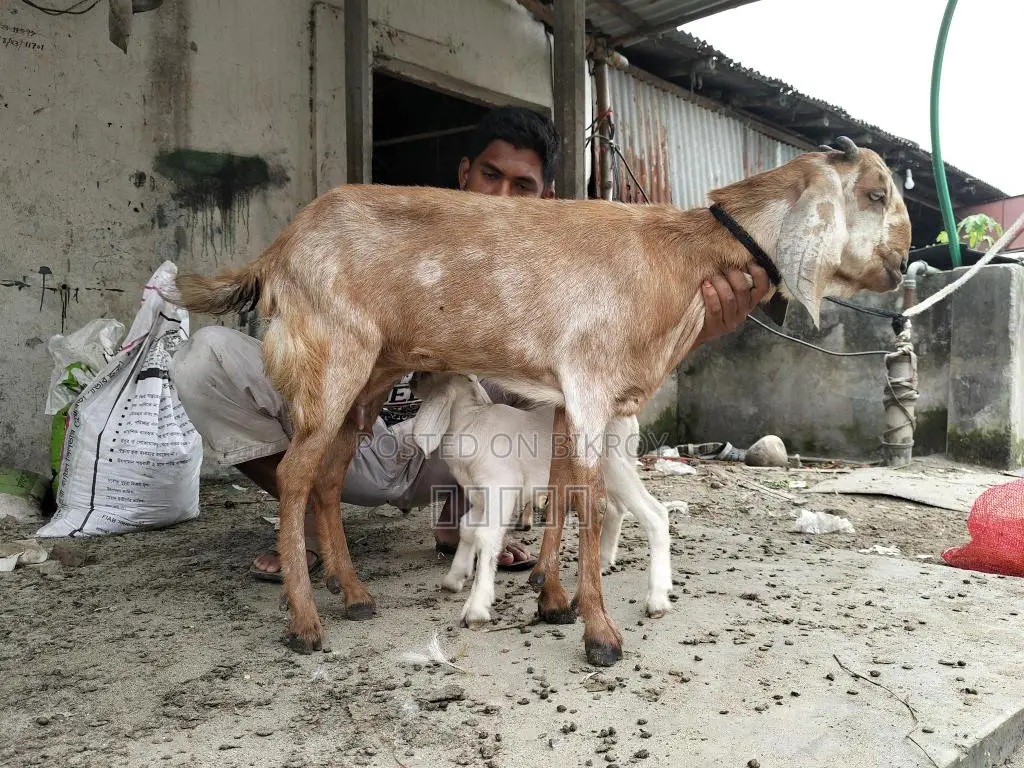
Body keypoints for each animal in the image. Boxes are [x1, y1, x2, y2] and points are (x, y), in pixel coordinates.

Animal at [409, 372, 674, 629]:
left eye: (429, 374)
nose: (411, 380)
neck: (470, 420)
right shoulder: (479, 495)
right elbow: (466, 528)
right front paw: (454, 578)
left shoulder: (500, 486)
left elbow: (486, 536)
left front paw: (476, 609)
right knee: (615, 508)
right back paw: (602, 560)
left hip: (615, 467)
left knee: (655, 514)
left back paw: (657, 599)